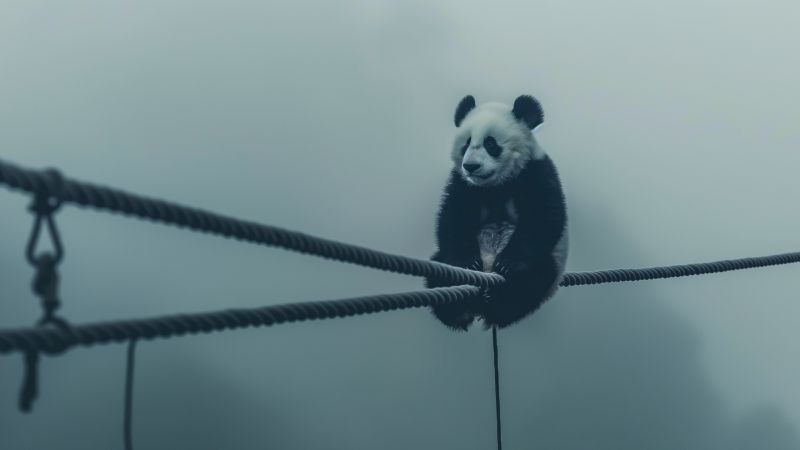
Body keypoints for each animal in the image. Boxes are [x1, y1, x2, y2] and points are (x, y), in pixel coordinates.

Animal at [425, 95, 568, 330]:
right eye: (466, 144)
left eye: (490, 143)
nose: (471, 166)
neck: (496, 184)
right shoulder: (464, 184)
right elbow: (454, 219)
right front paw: (468, 262)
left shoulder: (534, 171)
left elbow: (543, 218)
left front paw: (509, 263)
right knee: (438, 266)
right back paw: (459, 311)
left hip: (549, 264)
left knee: (534, 279)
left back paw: (499, 303)